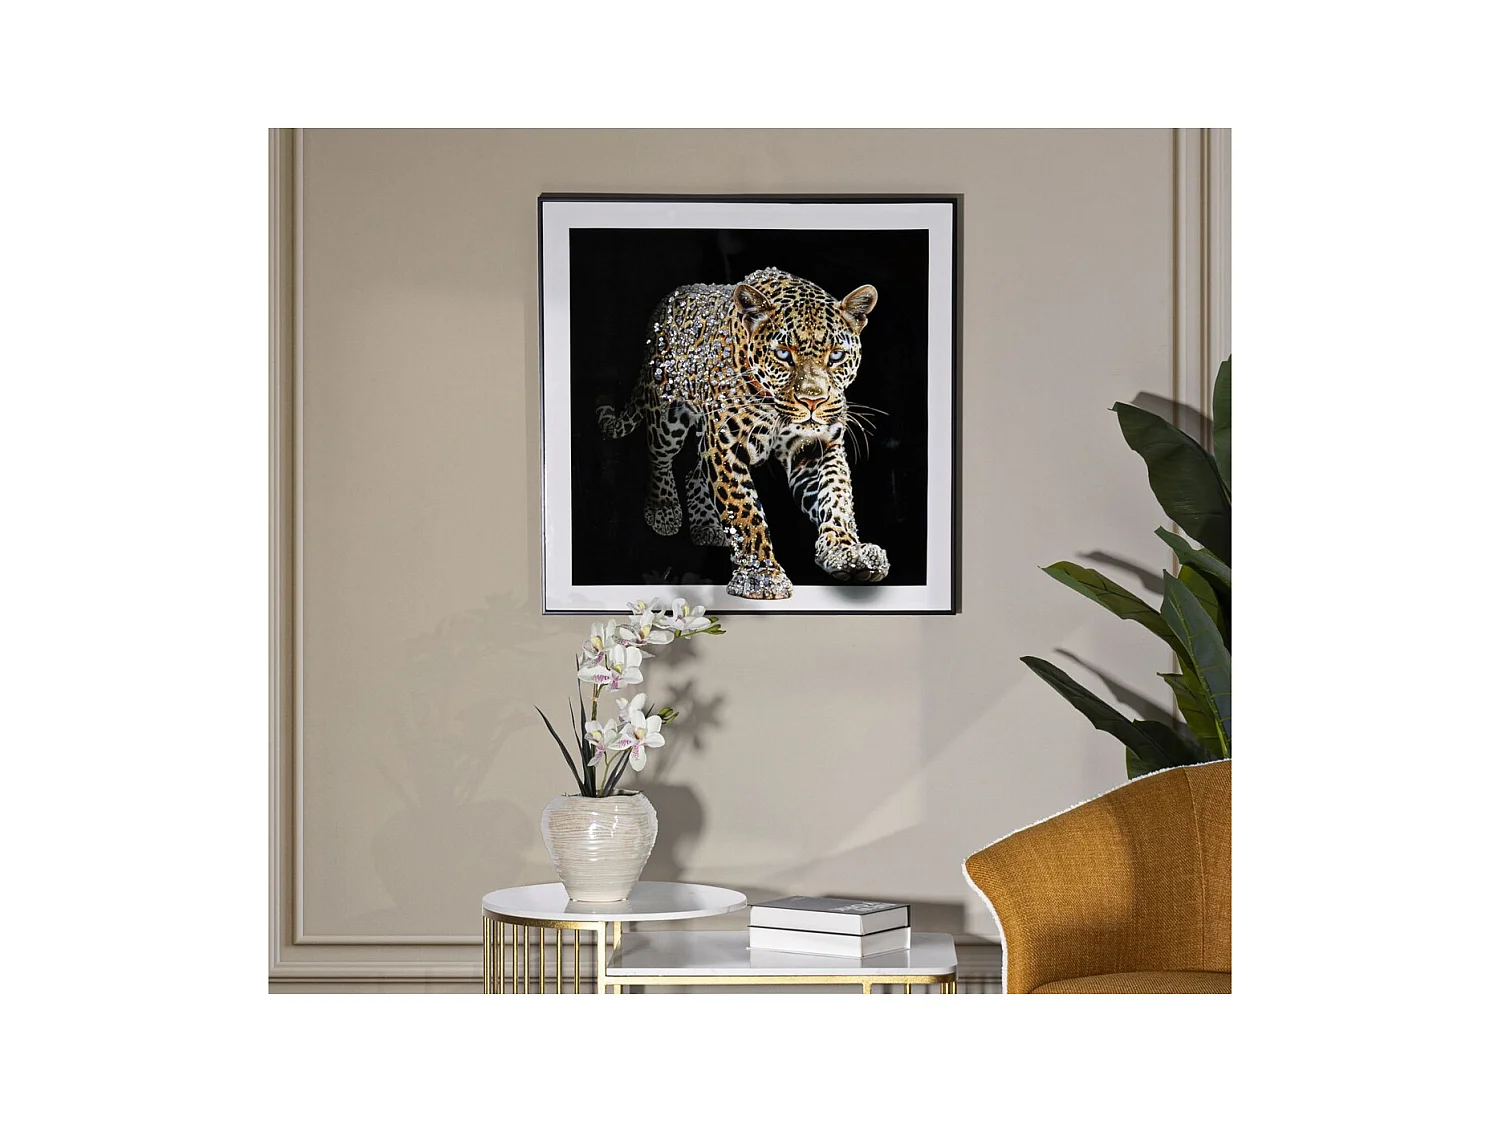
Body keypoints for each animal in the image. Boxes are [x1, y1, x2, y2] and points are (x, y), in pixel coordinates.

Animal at [596, 266, 889, 600]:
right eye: (783, 354)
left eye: (837, 356)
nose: (812, 401)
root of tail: (669, 298)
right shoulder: (725, 446)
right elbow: (744, 510)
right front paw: (761, 576)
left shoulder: (816, 447)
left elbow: (836, 496)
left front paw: (847, 553)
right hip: (666, 413)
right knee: (658, 457)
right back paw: (663, 508)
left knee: (694, 472)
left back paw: (707, 527)